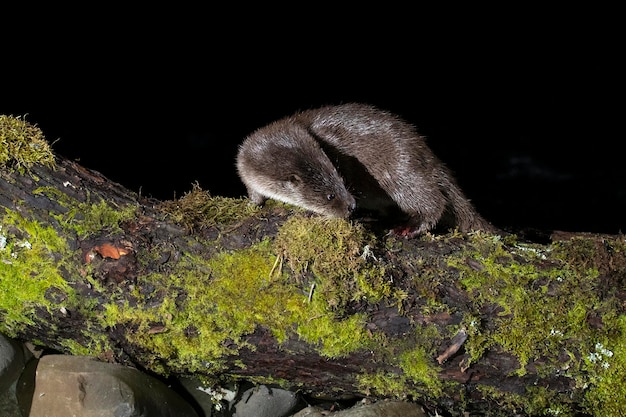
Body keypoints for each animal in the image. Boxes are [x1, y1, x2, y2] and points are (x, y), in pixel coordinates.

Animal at [236, 103, 494, 236]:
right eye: (330, 195)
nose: (351, 205)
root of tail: (429, 157)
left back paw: (406, 228)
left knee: (432, 202)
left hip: (400, 171)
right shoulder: (245, 167)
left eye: (341, 181)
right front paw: (253, 203)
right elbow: (253, 190)